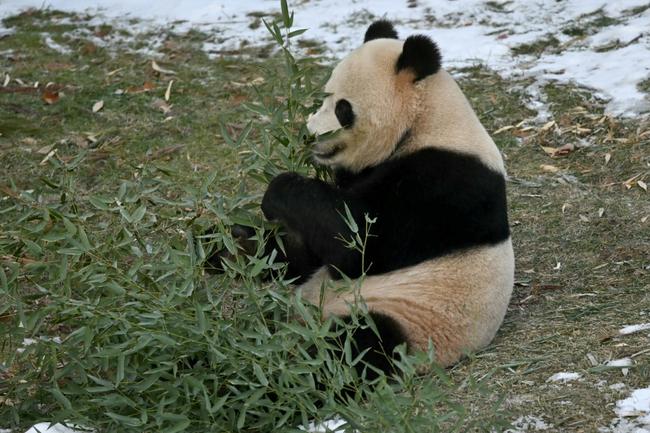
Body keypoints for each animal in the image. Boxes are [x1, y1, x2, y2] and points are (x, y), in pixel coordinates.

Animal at [253, 19, 512, 372]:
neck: (426, 119)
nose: (309, 136)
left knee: (357, 344)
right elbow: (315, 244)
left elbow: (360, 241)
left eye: (343, 109)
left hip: (408, 321)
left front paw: (278, 190)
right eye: (324, 98)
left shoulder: (445, 183)